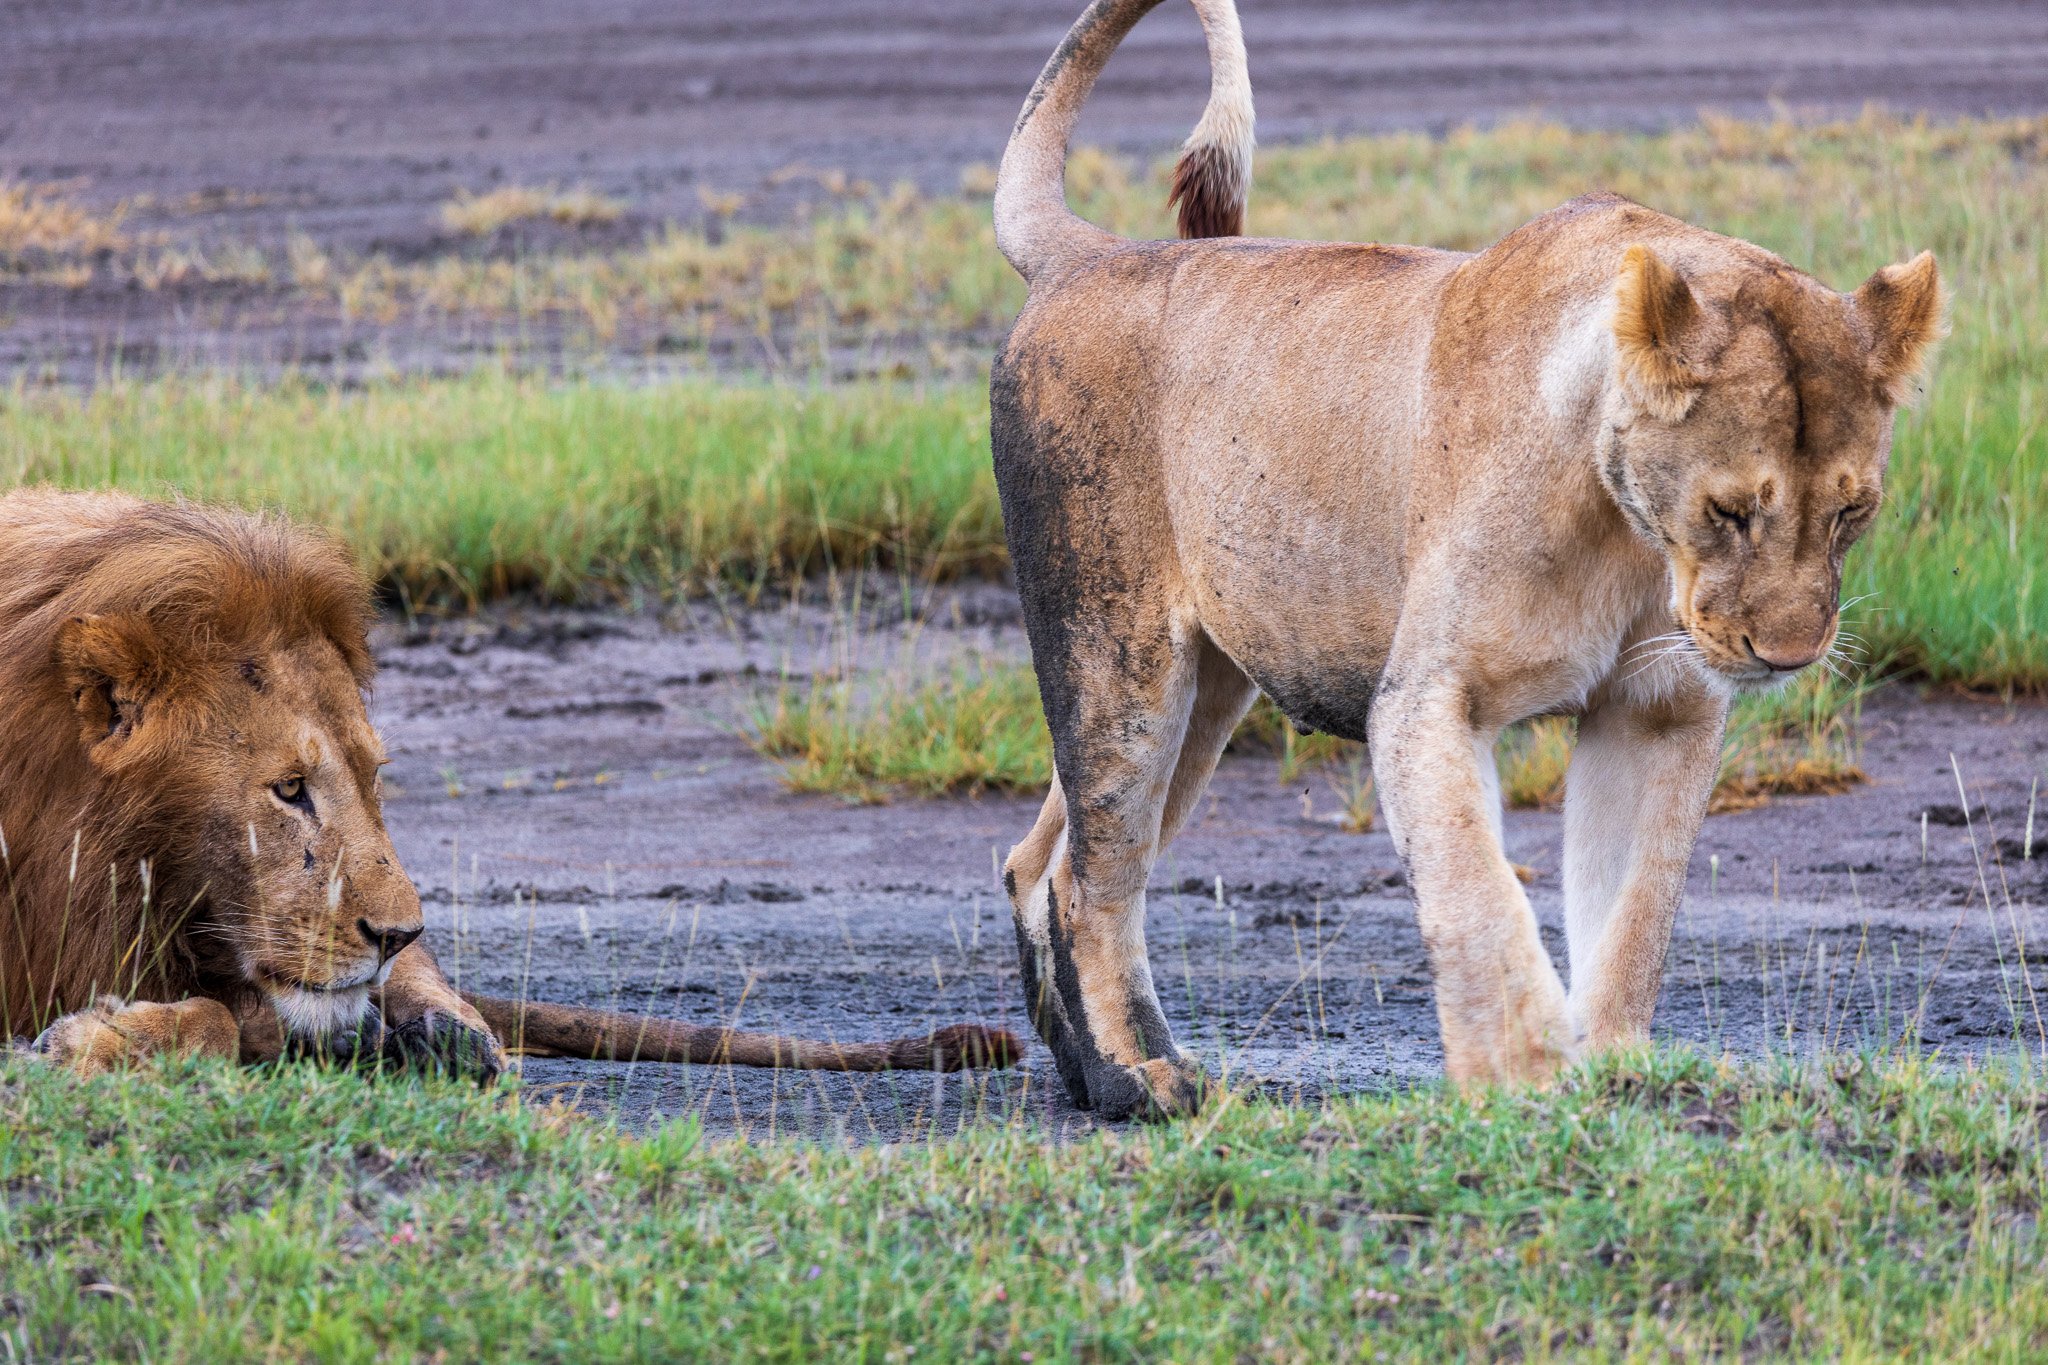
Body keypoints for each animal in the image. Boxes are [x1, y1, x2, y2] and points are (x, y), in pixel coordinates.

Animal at [0, 489, 1024, 1080]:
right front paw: (94, 1038)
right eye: (288, 788)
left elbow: (235, 1017)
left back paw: (445, 1036)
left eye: (373, 775)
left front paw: (97, 1037)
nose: (395, 930)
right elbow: (228, 1019)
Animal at [983, 0, 1941, 1121]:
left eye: (1851, 511)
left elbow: (1636, 910)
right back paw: (1139, 1077)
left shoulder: (1658, 708)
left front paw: (1616, 1070)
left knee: (1039, 856)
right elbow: (1480, 897)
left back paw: (1088, 1069)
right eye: (1730, 509)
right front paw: (1526, 1084)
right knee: (1095, 871)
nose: (1787, 656)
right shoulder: (1427, 699)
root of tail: (1084, 255)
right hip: (1117, 652)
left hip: (1210, 682)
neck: (1630, 537)